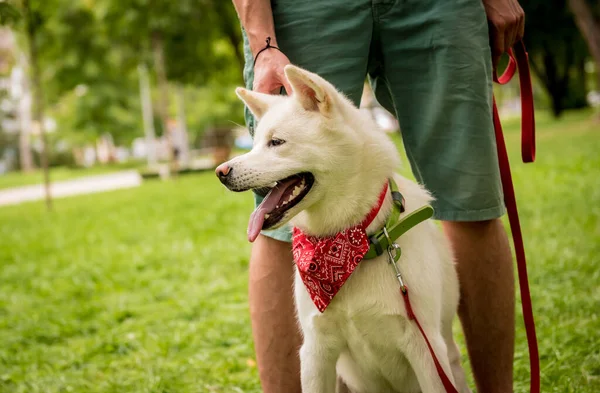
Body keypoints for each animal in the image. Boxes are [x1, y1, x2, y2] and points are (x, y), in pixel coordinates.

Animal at [218, 65, 472, 392]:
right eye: (256, 143)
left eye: (277, 142)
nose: (220, 172)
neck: (350, 241)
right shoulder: (315, 350)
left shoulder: (426, 350)